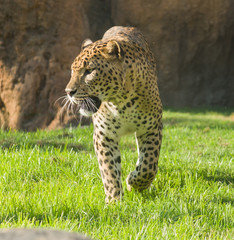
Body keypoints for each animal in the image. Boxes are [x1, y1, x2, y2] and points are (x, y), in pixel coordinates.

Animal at [64, 26, 163, 202]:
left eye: (89, 71)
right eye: (72, 71)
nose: (68, 92)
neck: (122, 102)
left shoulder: (151, 128)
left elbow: (149, 165)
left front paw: (134, 183)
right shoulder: (104, 135)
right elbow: (109, 169)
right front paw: (114, 201)